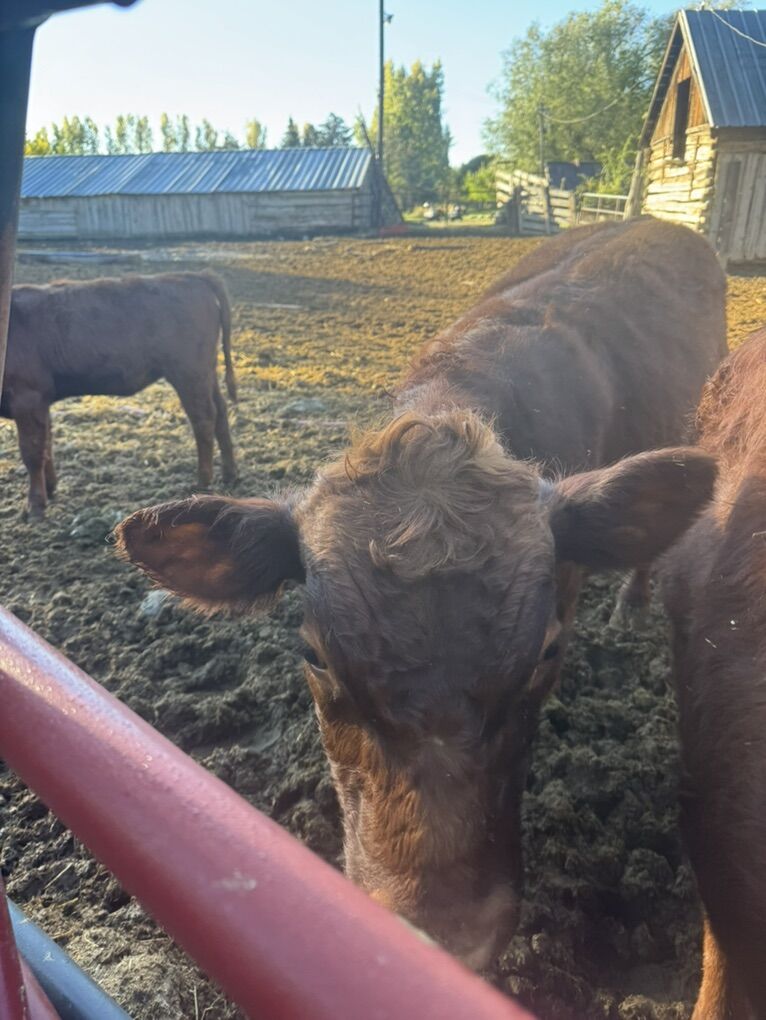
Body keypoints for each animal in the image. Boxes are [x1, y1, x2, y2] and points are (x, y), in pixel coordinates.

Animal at [1, 271, 238, 518]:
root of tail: (190, 277)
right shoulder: (41, 401)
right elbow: (46, 444)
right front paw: (50, 488)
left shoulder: (28, 398)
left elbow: (32, 452)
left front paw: (35, 506)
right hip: (206, 373)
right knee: (221, 411)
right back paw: (230, 475)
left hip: (188, 373)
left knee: (204, 419)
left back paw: (202, 482)